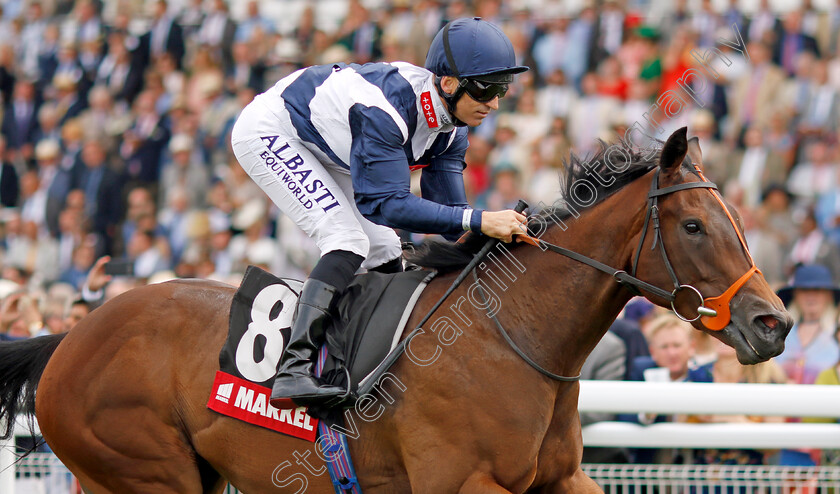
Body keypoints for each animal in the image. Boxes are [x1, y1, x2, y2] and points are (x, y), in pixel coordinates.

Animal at [0, 129, 792, 492]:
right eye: (695, 226)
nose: (773, 322)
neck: (512, 338)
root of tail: (68, 339)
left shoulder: (560, 478)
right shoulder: (463, 482)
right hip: (143, 470)